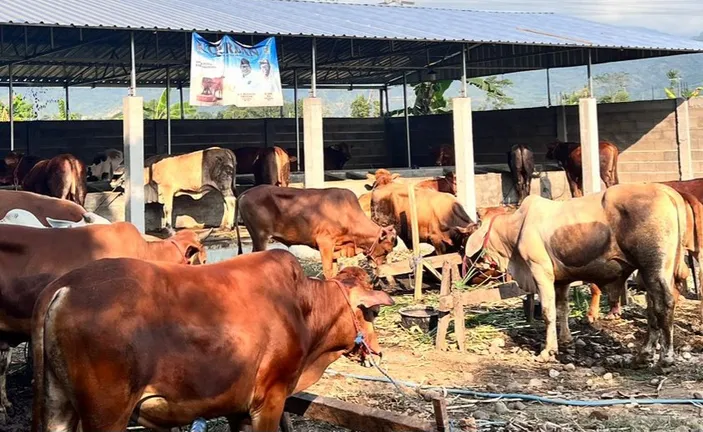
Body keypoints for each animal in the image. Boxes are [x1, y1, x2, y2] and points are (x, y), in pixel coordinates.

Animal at [31, 250, 396, 432]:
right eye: (373, 313)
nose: (377, 350)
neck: (302, 308)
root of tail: (65, 287)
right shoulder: (270, 399)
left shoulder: (238, 408)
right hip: (106, 415)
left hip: (58, 404)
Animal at [234, 185, 394, 278]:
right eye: (387, 249)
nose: (381, 266)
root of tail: (245, 193)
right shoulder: (325, 243)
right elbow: (328, 271)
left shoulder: (335, 247)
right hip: (260, 237)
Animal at [468, 184, 688, 366]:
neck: (517, 228)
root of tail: (666, 191)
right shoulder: (562, 280)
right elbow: (562, 308)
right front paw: (566, 339)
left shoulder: (540, 271)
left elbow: (548, 312)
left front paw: (548, 350)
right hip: (654, 270)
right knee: (652, 308)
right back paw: (643, 355)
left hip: (653, 267)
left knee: (663, 304)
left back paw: (665, 358)